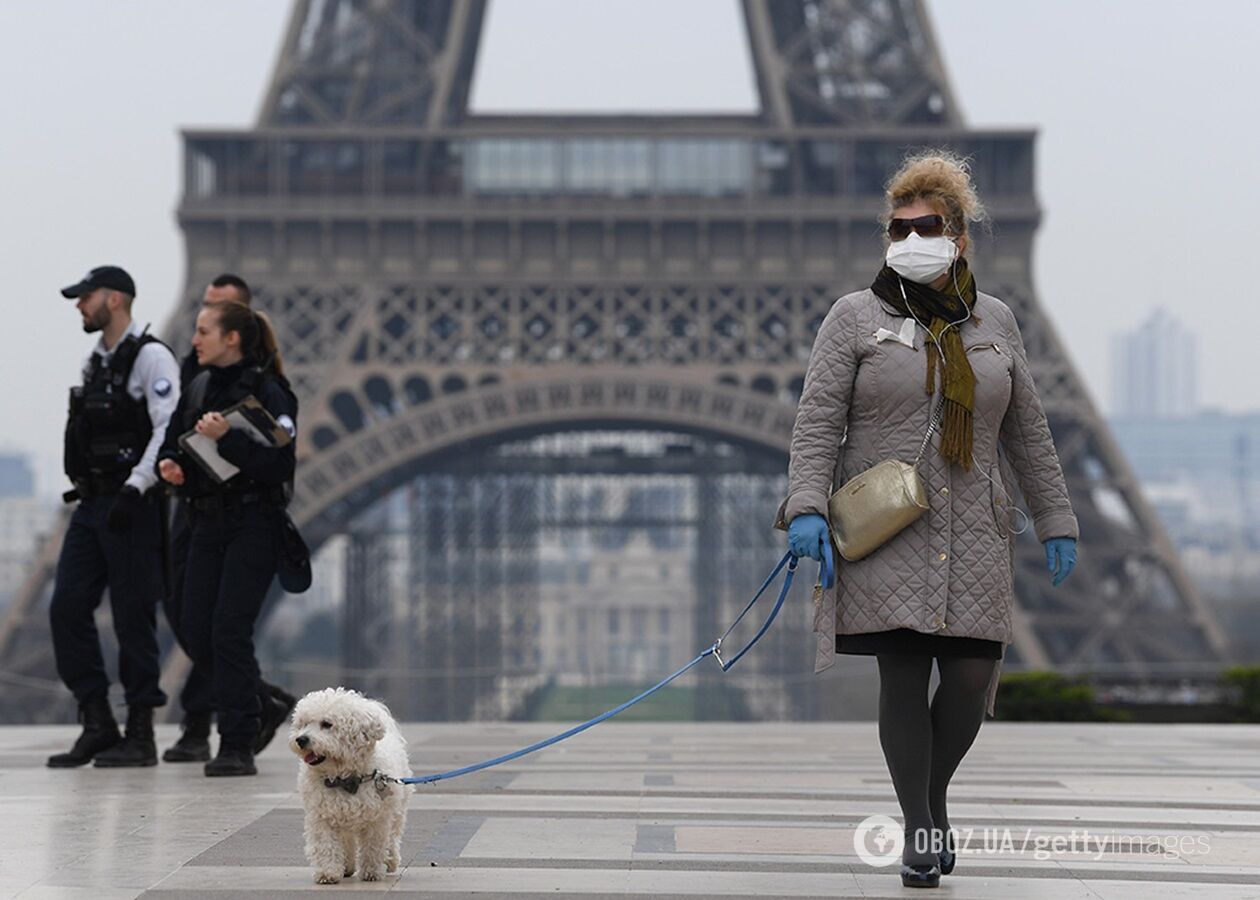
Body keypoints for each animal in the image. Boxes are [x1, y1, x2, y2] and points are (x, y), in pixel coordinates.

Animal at [288, 685, 413, 882]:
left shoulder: (377, 819)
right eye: (303, 724)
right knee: (346, 840)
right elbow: (326, 844)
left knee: (393, 835)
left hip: (397, 809)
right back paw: (347, 866)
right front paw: (328, 872)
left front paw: (371, 871)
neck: (343, 778)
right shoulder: (322, 816)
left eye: (327, 724)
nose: (301, 739)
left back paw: (390, 859)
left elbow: (373, 845)